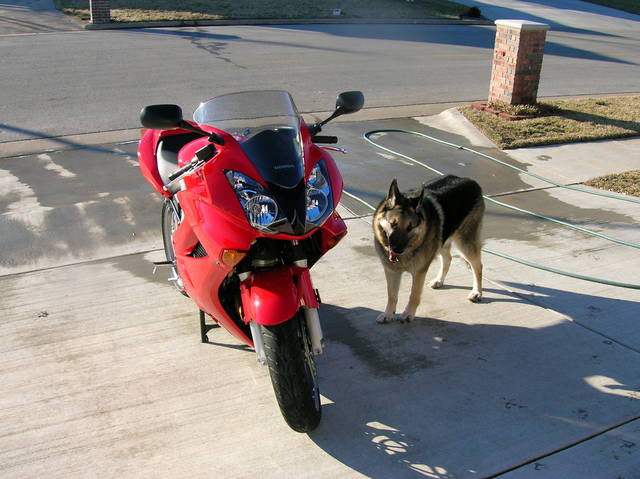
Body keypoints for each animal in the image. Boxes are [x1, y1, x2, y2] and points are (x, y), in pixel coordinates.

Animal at [373, 175, 485, 323]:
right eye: (393, 224)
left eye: (410, 227)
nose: (397, 250)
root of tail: (472, 181)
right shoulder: (392, 271)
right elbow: (392, 295)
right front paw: (388, 314)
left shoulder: (419, 272)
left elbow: (414, 295)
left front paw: (408, 313)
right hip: (441, 239)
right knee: (448, 258)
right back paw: (439, 280)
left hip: (465, 244)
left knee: (478, 266)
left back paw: (477, 292)